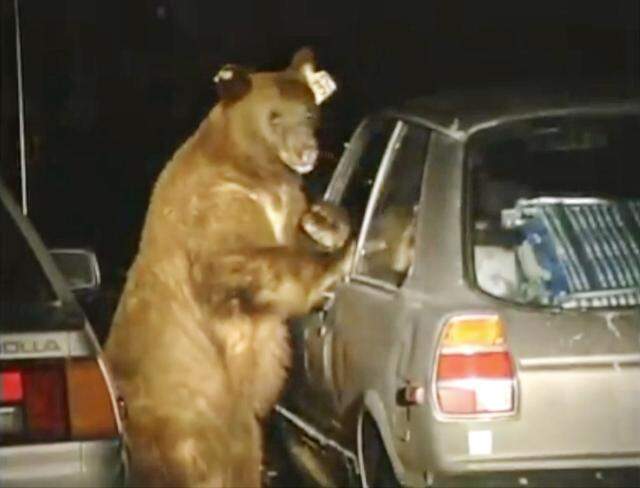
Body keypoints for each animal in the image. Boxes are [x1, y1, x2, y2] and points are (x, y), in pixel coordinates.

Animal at [104, 48, 352, 488]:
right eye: (274, 116)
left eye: (309, 112)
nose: (305, 151)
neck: (255, 168)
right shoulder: (215, 203)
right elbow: (236, 261)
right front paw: (333, 264)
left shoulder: (286, 200)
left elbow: (296, 233)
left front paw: (325, 225)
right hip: (188, 421)